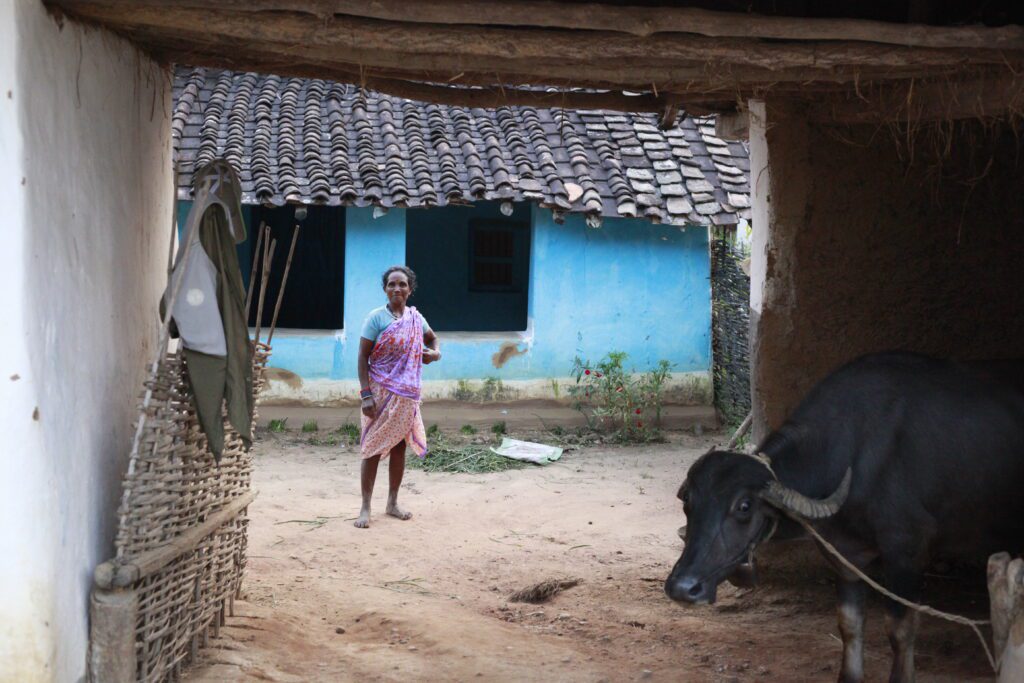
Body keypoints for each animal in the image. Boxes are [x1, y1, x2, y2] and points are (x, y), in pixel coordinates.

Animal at [663, 356, 1024, 679]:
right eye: (688, 502)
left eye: (744, 506)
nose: (683, 588)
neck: (852, 454)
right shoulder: (845, 557)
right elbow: (849, 623)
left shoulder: (906, 552)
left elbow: (900, 629)